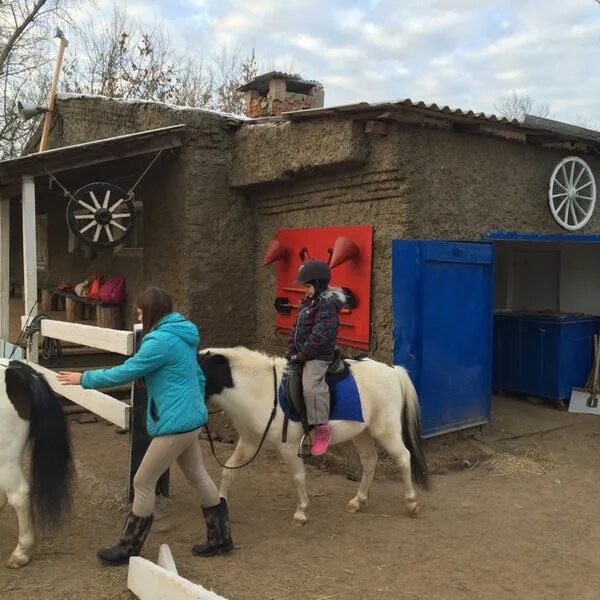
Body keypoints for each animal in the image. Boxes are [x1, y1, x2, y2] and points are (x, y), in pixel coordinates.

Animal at [199, 350, 428, 524]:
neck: (261, 390)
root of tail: (393, 370)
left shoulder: (289, 447)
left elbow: (298, 477)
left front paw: (301, 512)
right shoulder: (248, 443)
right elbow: (229, 470)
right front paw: (221, 500)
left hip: (385, 429)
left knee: (403, 458)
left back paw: (412, 504)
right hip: (361, 432)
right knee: (370, 461)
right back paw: (357, 501)